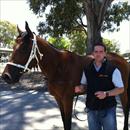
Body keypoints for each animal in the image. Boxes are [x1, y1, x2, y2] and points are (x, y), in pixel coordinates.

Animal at [1, 22, 129, 130]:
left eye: (23, 48)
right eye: (13, 48)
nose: (6, 76)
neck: (58, 67)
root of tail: (123, 60)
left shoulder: (68, 99)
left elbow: (67, 123)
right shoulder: (58, 99)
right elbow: (64, 121)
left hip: (123, 91)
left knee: (126, 109)